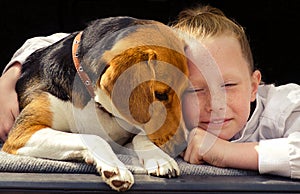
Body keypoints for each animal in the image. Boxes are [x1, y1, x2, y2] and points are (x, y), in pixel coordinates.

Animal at [2, 16, 189, 191]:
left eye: (184, 92)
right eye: (160, 95)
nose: (182, 146)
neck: (96, 101)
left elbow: (140, 136)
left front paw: (159, 158)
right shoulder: (23, 132)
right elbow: (94, 138)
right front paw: (115, 167)